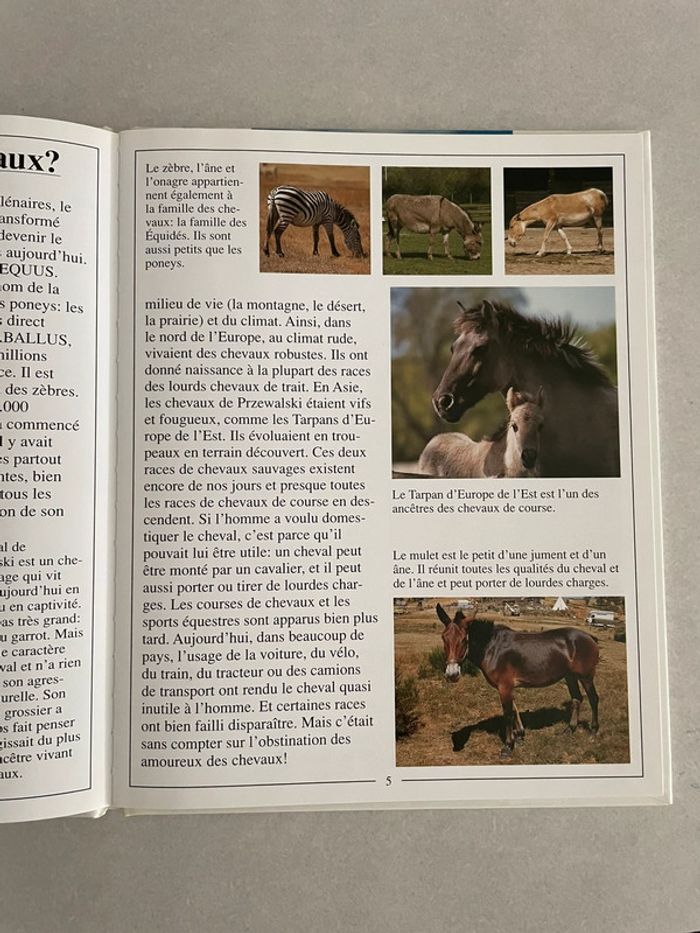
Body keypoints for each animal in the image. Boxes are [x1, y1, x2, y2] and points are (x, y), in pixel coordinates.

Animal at [436, 604, 600, 757]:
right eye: (443, 638)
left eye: (464, 639)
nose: (452, 674)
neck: (492, 648)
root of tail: (589, 637)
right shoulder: (507, 687)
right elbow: (514, 709)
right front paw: (520, 734)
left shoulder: (505, 686)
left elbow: (508, 714)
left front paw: (508, 745)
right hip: (570, 676)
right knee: (577, 699)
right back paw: (570, 729)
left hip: (586, 676)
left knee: (593, 699)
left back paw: (593, 731)